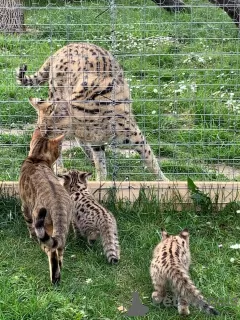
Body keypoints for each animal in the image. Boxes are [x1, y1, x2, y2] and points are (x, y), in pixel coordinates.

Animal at [16, 42, 169, 181]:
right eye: (40, 127)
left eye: (48, 128)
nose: (42, 136)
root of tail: (63, 48)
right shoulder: (97, 143)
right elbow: (100, 165)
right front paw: (101, 182)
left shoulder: (136, 137)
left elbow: (151, 160)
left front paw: (165, 181)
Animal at [18, 127, 72, 282]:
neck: (37, 159)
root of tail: (58, 205)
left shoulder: (25, 205)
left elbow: (29, 225)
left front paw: (31, 237)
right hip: (62, 230)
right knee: (59, 251)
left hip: (40, 220)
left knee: (51, 251)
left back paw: (54, 279)